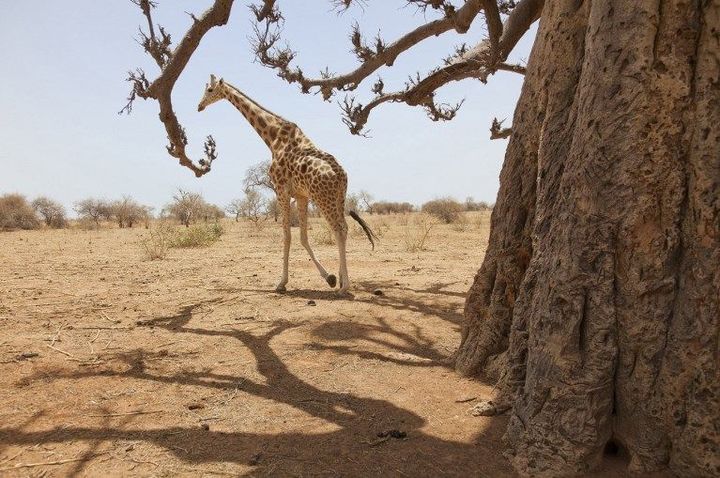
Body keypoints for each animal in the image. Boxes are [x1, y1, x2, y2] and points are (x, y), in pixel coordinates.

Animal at [197, 74, 376, 296]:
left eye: (210, 90)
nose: (199, 106)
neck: (273, 138)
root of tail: (340, 175)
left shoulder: (280, 190)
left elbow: (287, 236)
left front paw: (281, 283)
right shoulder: (301, 195)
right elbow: (303, 237)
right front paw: (330, 277)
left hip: (323, 198)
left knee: (339, 229)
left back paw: (345, 287)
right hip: (338, 197)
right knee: (344, 228)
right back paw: (342, 279)